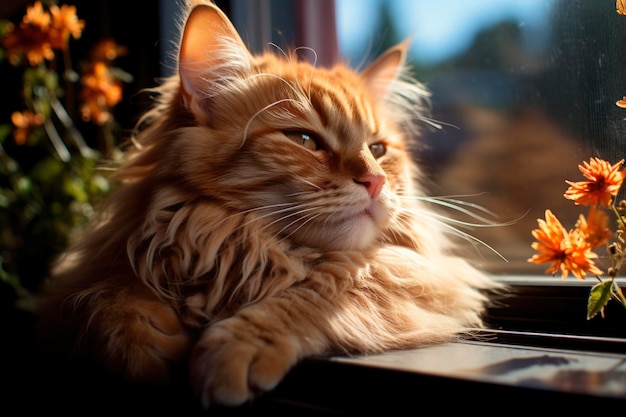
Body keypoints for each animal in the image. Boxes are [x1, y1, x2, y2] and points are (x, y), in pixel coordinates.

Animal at [33, 0, 502, 410]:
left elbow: (321, 293)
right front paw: (139, 344)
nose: (375, 181)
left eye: (377, 149)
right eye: (305, 140)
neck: (242, 248)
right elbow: (105, 298)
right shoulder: (90, 271)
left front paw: (240, 345)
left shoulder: (423, 280)